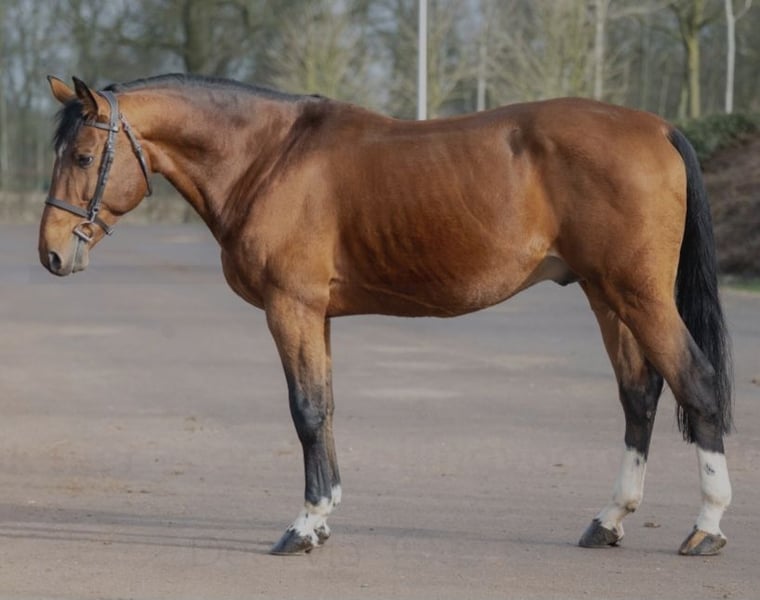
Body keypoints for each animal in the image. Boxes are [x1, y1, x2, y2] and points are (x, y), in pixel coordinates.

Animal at [39, 74, 733, 557]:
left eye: (82, 157)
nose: (50, 253)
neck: (269, 158)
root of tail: (659, 129)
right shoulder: (315, 312)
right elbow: (323, 406)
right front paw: (323, 517)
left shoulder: (290, 307)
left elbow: (305, 410)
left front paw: (303, 526)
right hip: (604, 293)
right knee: (639, 394)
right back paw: (608, 520)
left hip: (638, 294)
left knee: (696, 384)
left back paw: (707, 527)